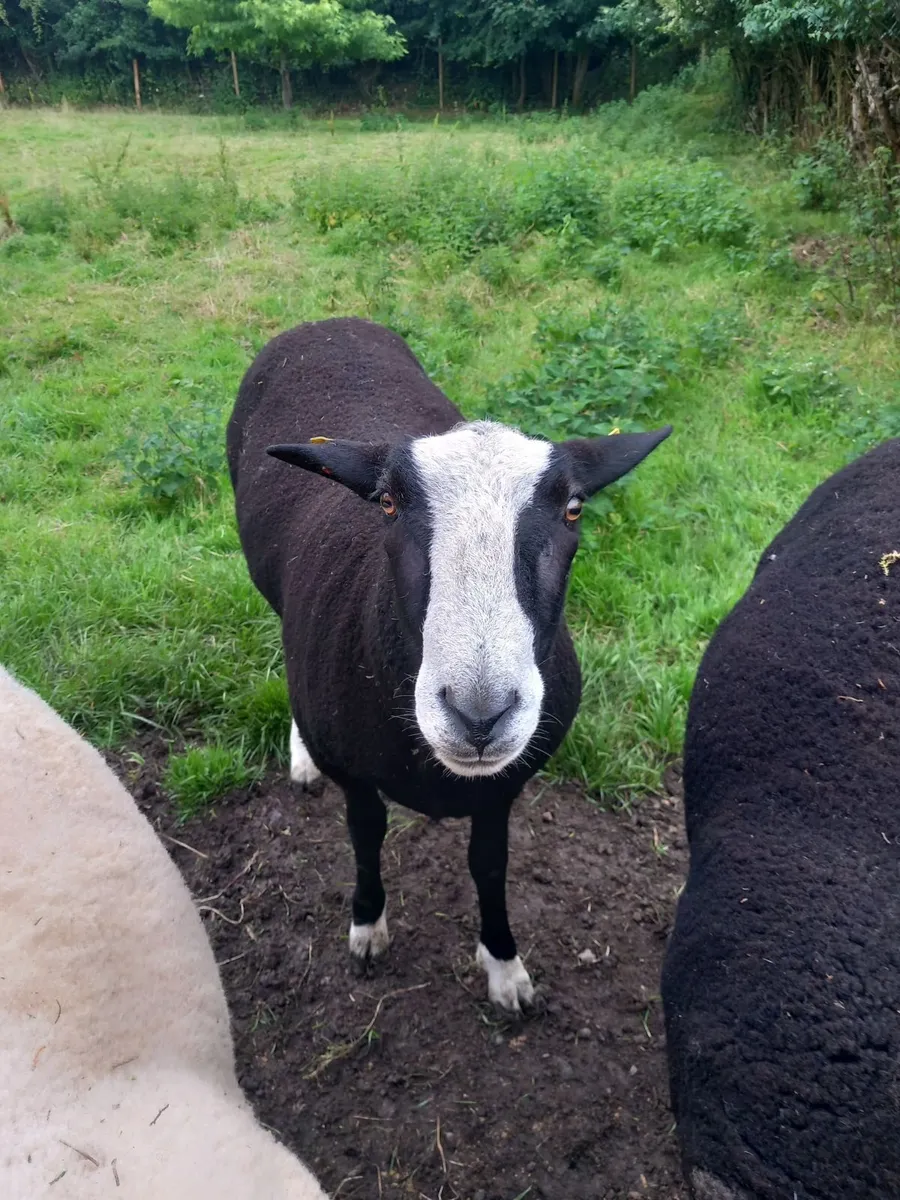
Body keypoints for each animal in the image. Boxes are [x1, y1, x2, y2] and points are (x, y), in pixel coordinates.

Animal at [226, 316, 671, 1013]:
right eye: (386, 503)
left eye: (574, 508)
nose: (479, 716)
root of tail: (330, 322)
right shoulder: (355, 775)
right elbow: (366, 834)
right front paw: (367, 926)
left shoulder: (504, 788)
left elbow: (489, 864)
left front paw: (505, 966)